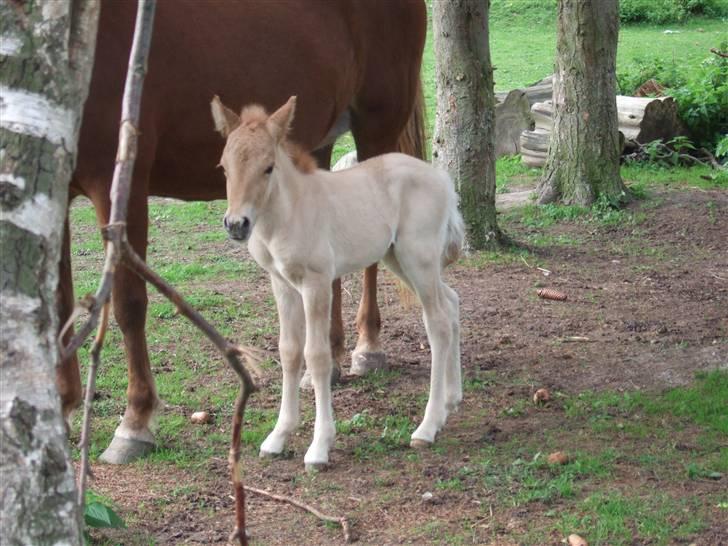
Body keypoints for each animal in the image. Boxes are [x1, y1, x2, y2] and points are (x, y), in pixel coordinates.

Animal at [61, 0, 426, 462]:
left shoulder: (120, 186)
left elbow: (129, 304)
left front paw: (135, 422)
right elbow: (57, 303)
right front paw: (62, 408)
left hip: (376, 128)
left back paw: (368, 348)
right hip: (318, 146)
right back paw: (329, 360)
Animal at [210, 94, 464, 468]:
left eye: (268, 167)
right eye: (224, 168)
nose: (236, 224)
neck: (288, 212)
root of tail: (443, 180)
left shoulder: (316, 283)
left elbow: (316, 356)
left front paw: (319, 447)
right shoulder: (281, 284)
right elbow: (289, 351)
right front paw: (278, 437)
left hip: (418, 258)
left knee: (439, 324)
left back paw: (428, 426)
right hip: (399, 259)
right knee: (452, 302)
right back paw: (452, 399)